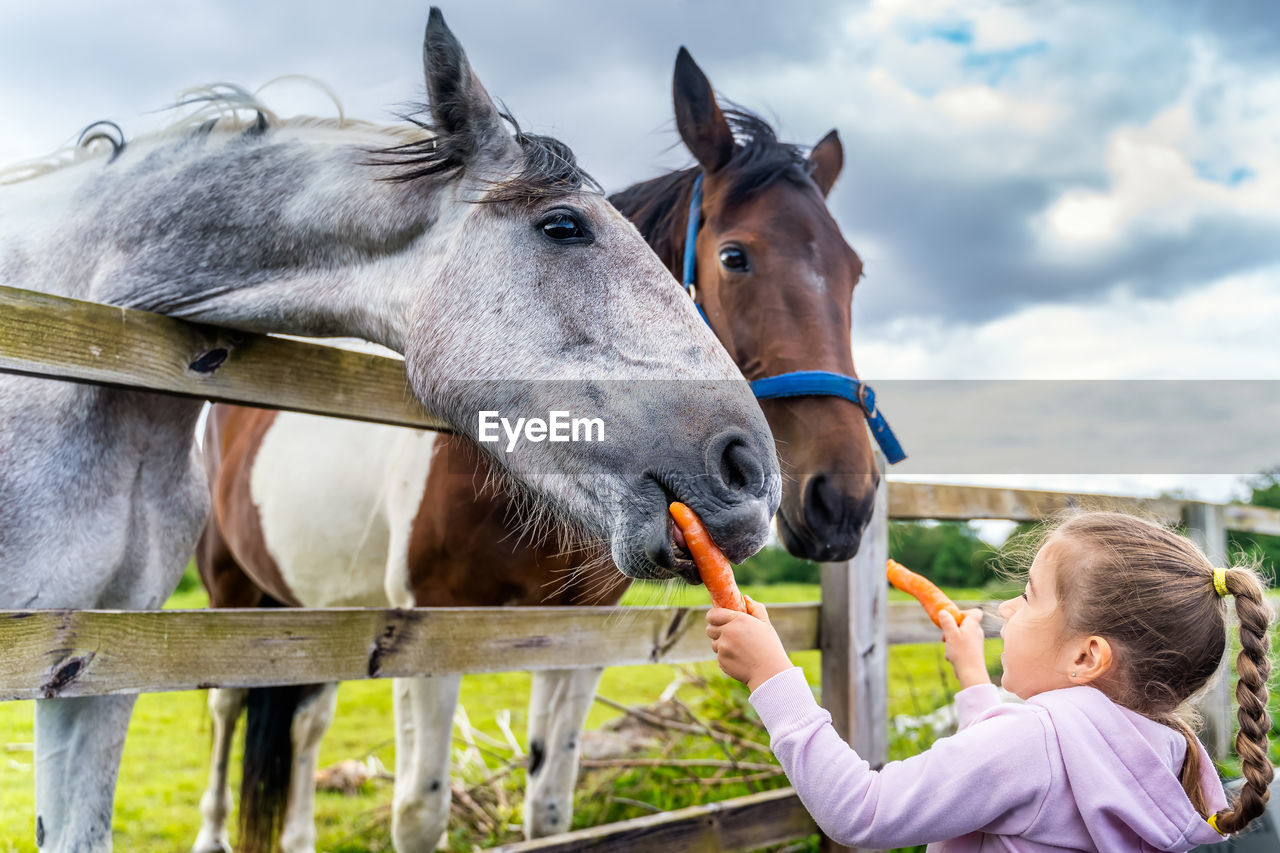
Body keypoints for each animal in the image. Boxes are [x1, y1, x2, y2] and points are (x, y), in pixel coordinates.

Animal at [194, 48, 890, 850]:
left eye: (855, 272)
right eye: (735, 256)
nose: (842, 499)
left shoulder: (576, 642)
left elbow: (549, 803)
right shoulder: (423, 633)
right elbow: (420, 811)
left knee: (306, 724)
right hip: (232, 591)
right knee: (227, 709)